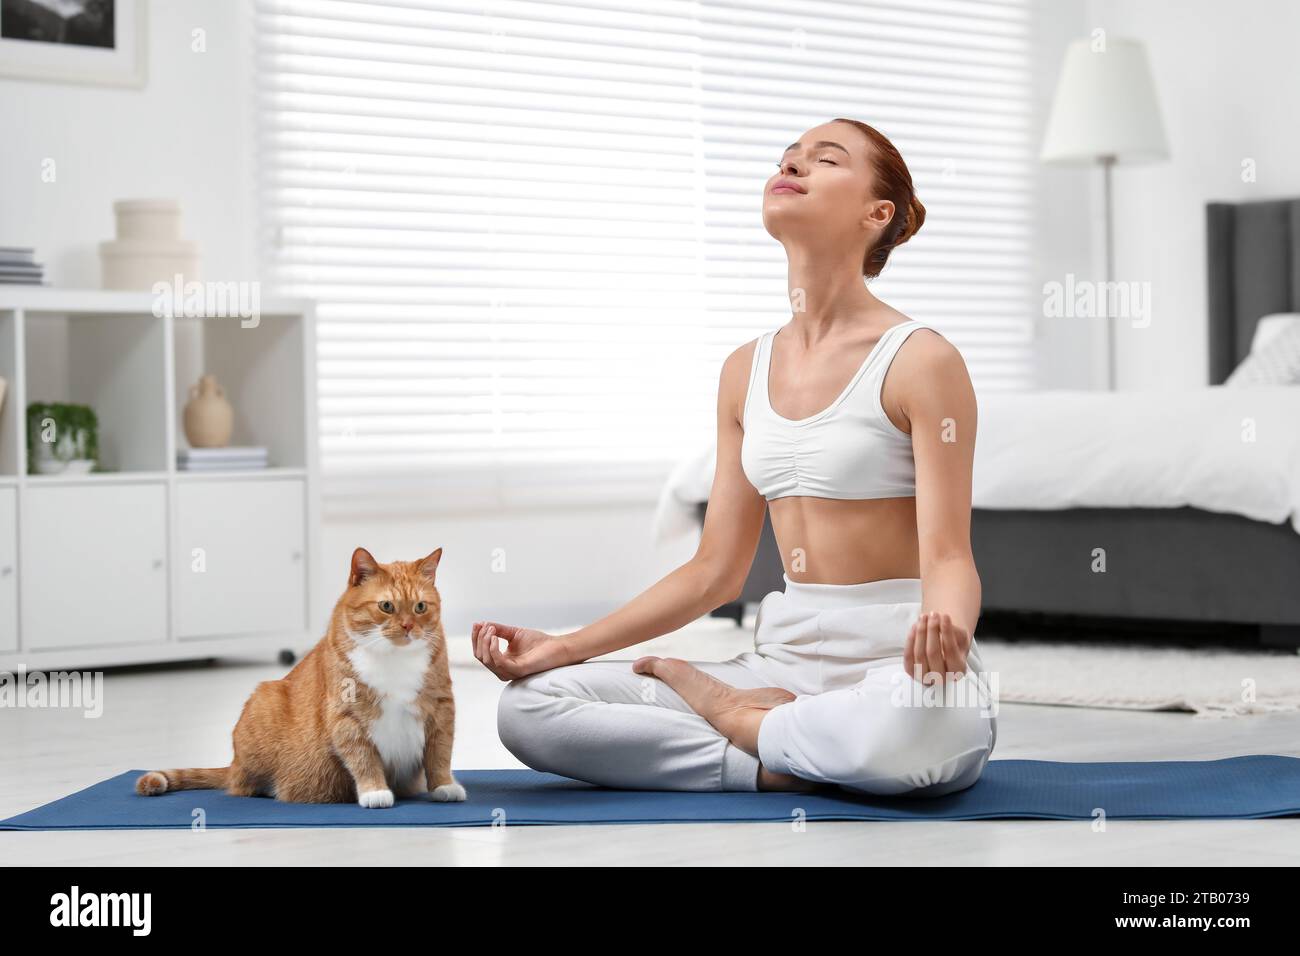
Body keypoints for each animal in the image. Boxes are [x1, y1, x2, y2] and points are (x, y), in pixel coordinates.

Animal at [135, 546, 462, 806]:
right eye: (386, 606)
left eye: (420, 607)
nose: (408, 627)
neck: (394, 659)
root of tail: (233, 763)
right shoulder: (346, 716)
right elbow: (364, 758)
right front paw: (375, 792)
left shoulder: (441, 707)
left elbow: (440, 754)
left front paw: (444, 786)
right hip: (263, 702)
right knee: (240, 785)